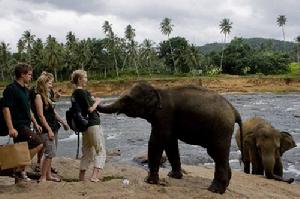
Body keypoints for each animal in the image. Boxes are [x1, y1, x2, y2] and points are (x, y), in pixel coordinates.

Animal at [97, 81, 243, 194]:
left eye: (127, 99)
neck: (157, 89)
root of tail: (234, 111)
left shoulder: (164, 116)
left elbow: (156, 141)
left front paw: (149, 181)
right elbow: (170, 143)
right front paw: (173, 176)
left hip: (221, 129)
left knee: (218, 152)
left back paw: (215, 190)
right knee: (216, 154)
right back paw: (226, 184)